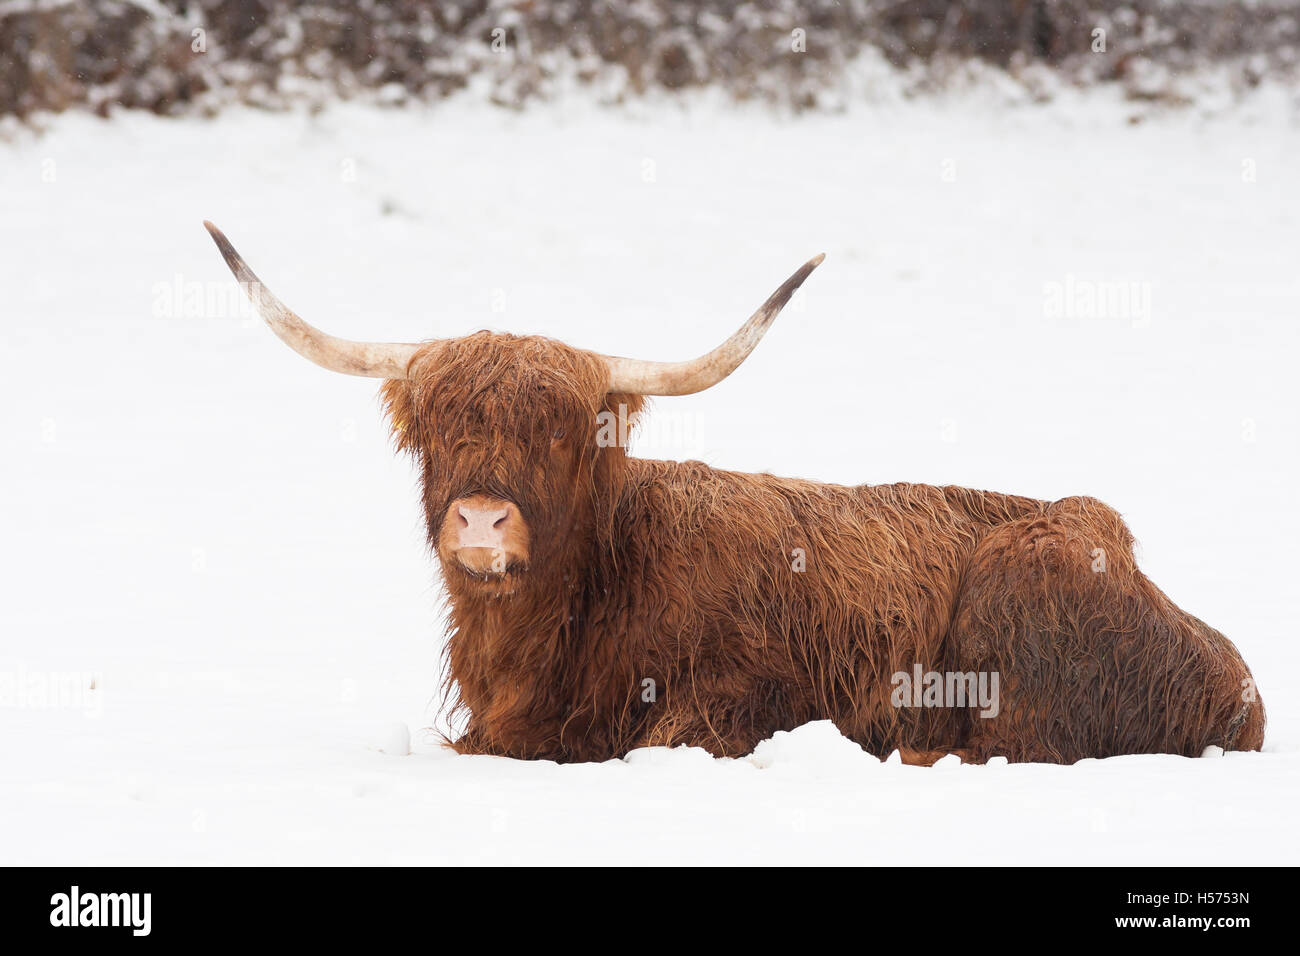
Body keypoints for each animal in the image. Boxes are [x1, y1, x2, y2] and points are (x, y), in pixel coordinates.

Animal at [204, 221, 1265, 765]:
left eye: (562, 428)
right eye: (435, 423)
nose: (480, 519)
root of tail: (1239, 686)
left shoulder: (740, 702)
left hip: (1023, 595)